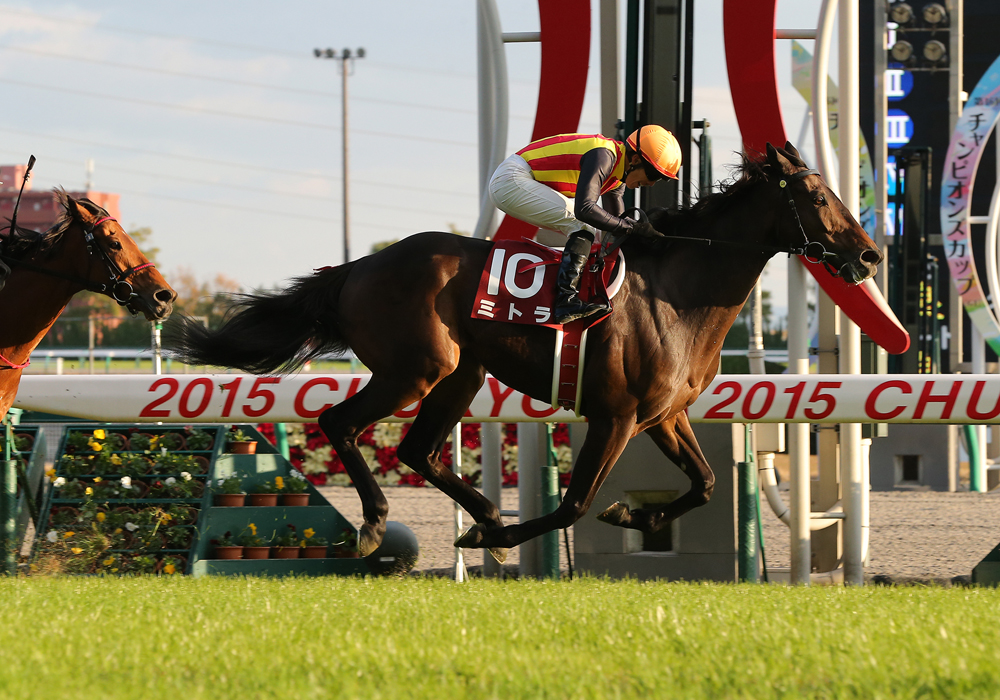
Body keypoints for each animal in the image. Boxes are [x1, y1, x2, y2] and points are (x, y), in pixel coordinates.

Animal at [166, 145, 884, 560]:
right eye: (817, 196)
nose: (870, 254)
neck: (677, 292)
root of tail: (356, 268)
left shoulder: (664, 414)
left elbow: (704, 484)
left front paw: (635, 513)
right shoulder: (616, 415)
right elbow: (574, 504)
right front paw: (520, 532)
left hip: (460, 373)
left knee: (416, 450)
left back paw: (481, 514)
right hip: (414, 369)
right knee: (340, 422)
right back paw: (378, 524)